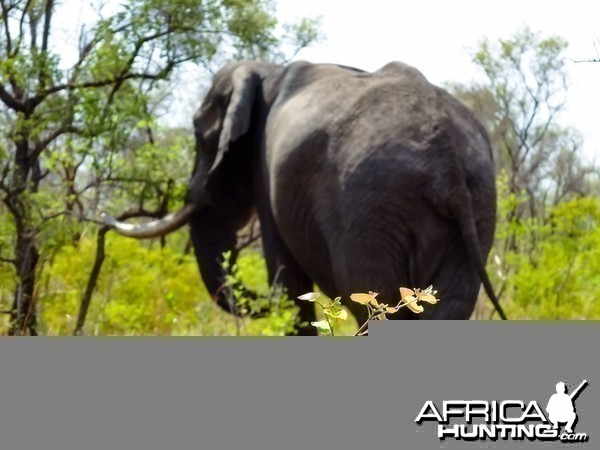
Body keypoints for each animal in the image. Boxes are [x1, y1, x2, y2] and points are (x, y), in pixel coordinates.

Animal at [103, 59, 506, 334]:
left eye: (201, 138)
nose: (108, 218)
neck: (265, 71)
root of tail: (446, 154)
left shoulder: (266, 168)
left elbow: (289, 283)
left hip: (369, 208)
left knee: (373, 296)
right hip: (476, 205)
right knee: (450, 304)